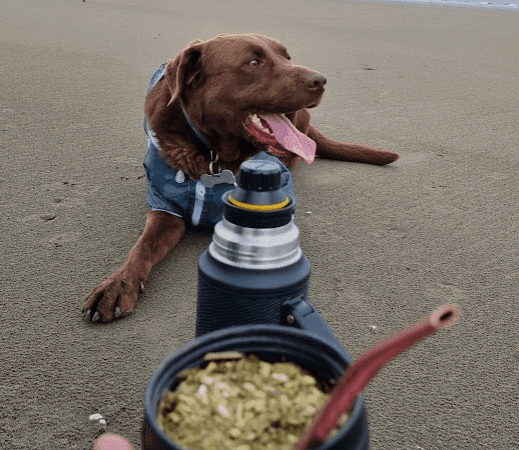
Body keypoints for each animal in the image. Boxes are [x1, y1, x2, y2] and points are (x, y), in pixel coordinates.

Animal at [83, 33, 400, 322]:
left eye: (287, 57)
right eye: (253, 62)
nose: (320, 81)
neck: (213, 156)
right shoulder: (165, 207)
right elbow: (142, 247)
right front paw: (117, 285)